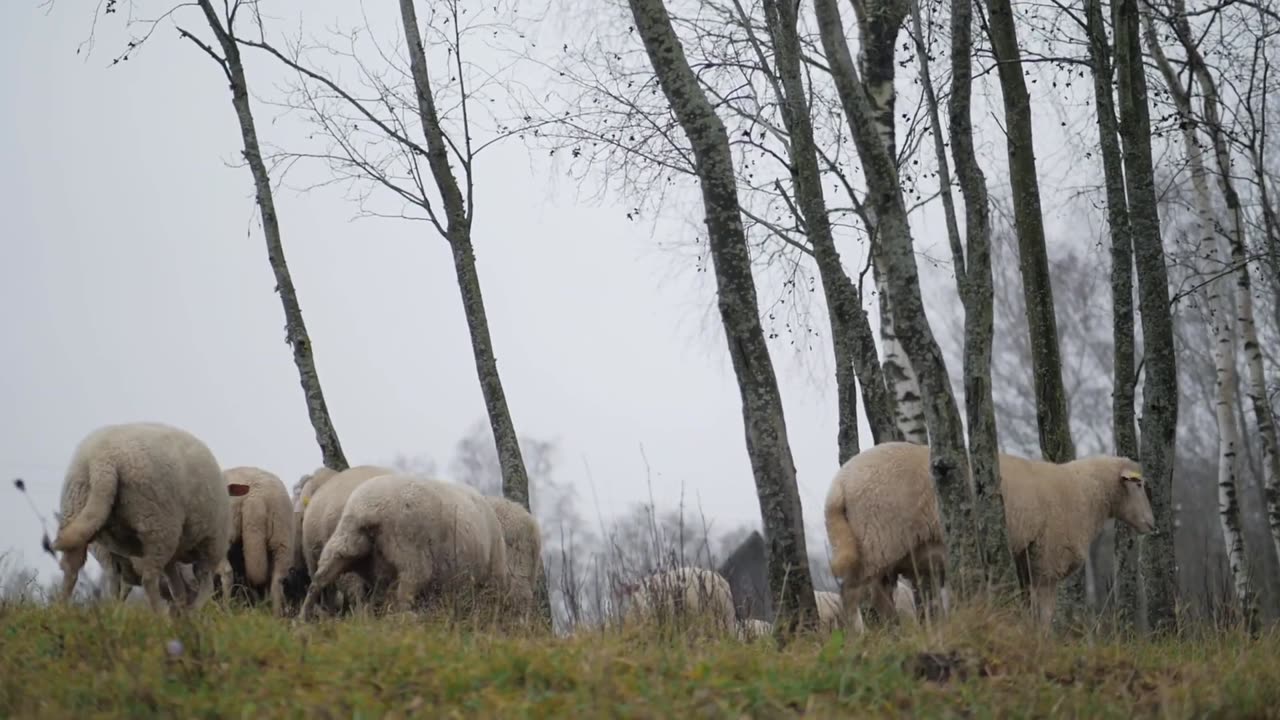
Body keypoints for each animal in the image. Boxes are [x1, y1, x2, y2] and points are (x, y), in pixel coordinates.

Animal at [53, 420, 232, 609]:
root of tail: (103, 459)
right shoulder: (212, 543)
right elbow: (203, 584)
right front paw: (193, 611)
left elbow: (177, 588)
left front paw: (183, 610)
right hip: (158, 524)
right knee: (149, 578)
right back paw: (161, 614)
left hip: (75, 504)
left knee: (71, 569)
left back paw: (61, 608)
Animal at [217, 466, 294, 617]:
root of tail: (255, 496)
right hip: (282, 539)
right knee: (276, 581)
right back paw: (274, 615)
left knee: (227, 573)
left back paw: (226, 610)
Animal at [296, 471, 506, 617]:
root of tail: (371, 511)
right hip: (411, 556)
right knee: (404, 597)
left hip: (345, 542)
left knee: (319, 579)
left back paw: (303, 618)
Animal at [824, 438, 1157, 627]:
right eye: (1139, 484)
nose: (1152, 525)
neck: (1084, 493)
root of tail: (840, 483)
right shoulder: (1046, 559)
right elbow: (1045, 612)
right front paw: (1043, 641)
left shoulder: (1025, 564)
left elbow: (1031, 608)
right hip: (878, 538)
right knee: (852, 593)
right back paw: (859, 636)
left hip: (880, 547)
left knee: (878, 595)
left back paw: (896, 630)